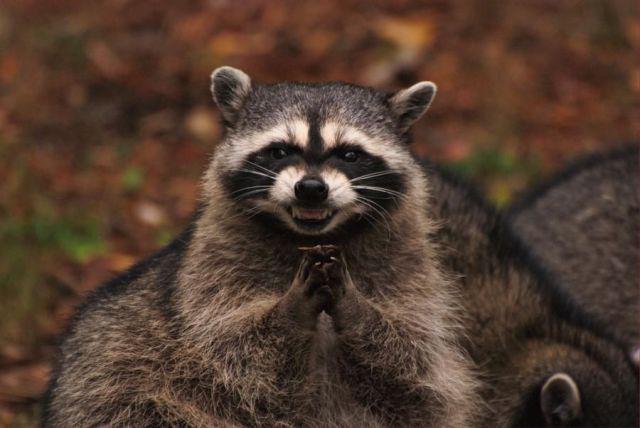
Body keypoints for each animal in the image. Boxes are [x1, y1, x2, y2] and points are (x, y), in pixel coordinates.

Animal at [44, 67, 478, 426]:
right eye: (280, 150)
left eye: (350, 154)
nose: (311, 188)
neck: (309, 237)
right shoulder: (210, 272)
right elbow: (234, 352)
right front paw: (290, 311)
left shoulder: (407, 269)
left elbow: (413, 370)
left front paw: (356, 307)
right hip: (117, 376)